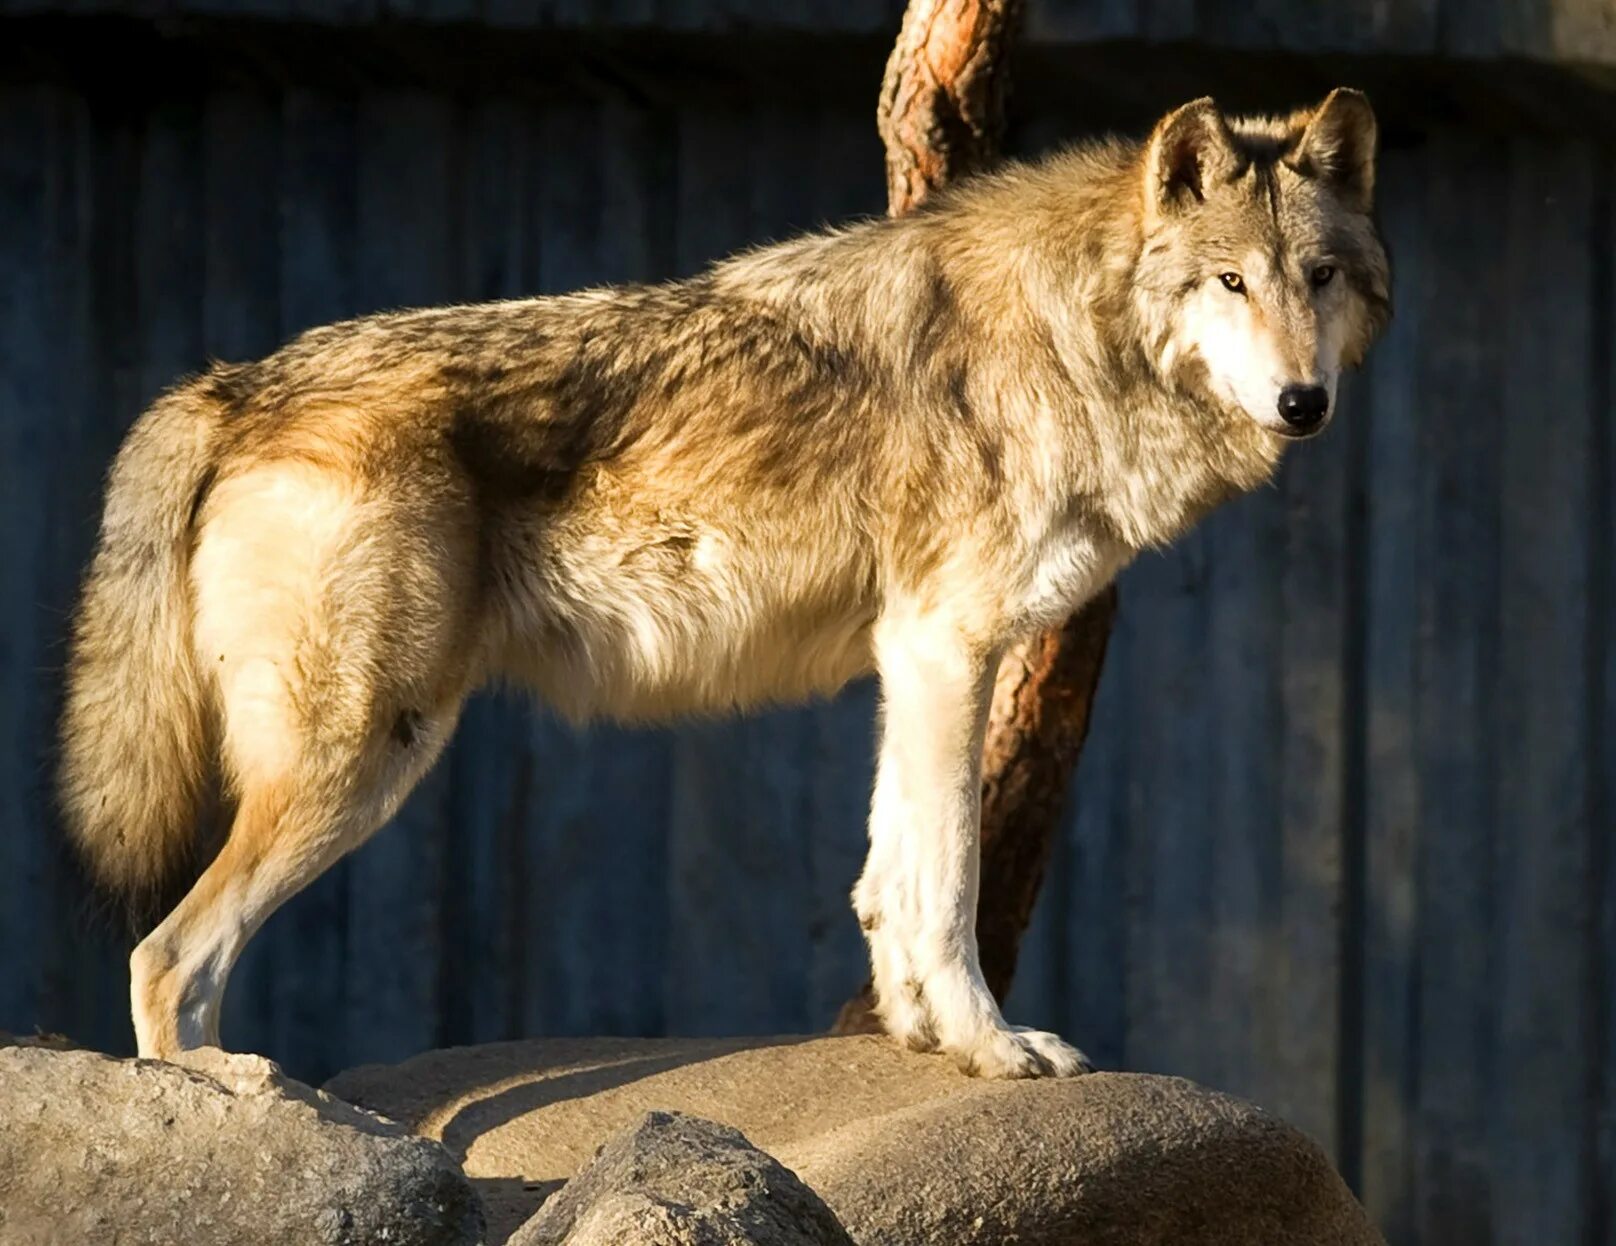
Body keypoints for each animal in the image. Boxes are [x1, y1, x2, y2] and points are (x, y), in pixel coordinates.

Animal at [56, 90, 1383, 1079]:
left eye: (1317, 276)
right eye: (1228, 283)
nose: (1302, 404)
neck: (1076, 331)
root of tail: (233, 381)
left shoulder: (915, 658)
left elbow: (888, 873)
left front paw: (913, 1037)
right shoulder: (950, 647)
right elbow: (948, 884)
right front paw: (990, 1047)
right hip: (365, 751)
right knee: (164, 955)